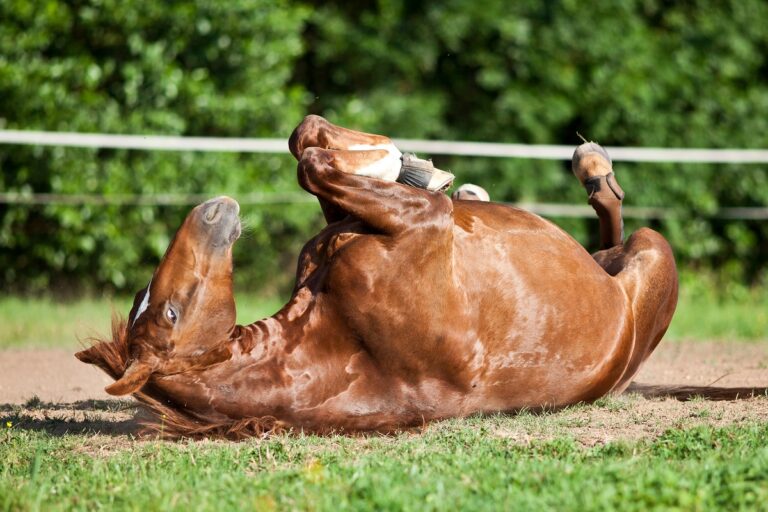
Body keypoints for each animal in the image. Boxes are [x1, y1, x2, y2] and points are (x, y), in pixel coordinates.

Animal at [78, 117, 680, 440]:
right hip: (652, 250)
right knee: (618, 227)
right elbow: (314, 164)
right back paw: (593, 167)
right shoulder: (422, 222)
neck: (338, 340)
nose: (212, 210)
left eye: (152, 303)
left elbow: (306, 144)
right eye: (170, 312)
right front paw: (407, 165)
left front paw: (412, 165)